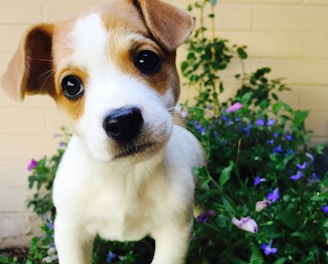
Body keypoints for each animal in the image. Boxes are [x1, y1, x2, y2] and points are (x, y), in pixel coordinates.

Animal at [0, 1, 205, 262]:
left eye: (147, 59)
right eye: (70, 85)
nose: (123, 121)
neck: (123, 177)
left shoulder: (173, 235)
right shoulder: (70, 232)